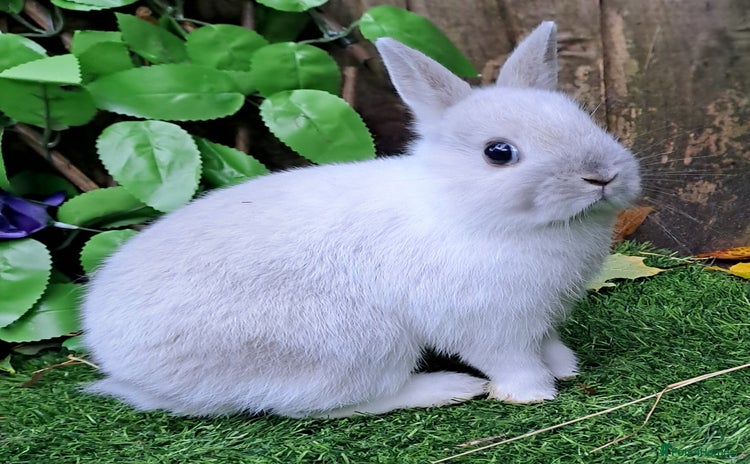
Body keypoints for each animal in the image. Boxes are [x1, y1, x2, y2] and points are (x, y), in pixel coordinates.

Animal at [81, 21, 641, 418]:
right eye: (498, 153)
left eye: (582, 119)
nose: (603, 176)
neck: (460, 207)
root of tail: (120, 363)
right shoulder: (487, 322)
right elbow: (513, 360)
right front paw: (534, 394)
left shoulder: (543, 315)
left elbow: (546, 343)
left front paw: (566, 367)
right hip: (355, 345)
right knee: (322, 405)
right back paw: (448, 388)